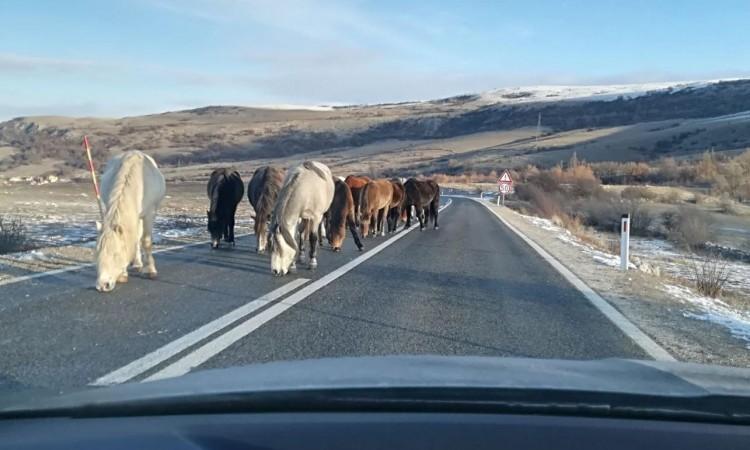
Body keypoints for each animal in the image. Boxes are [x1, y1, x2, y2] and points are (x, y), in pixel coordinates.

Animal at [96, 151, 167, 292]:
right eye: (97, 253)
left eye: (116, 254)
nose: (102, 285)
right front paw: (123, 274)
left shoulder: (149, 213)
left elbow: (146, 241)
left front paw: (150, 270)